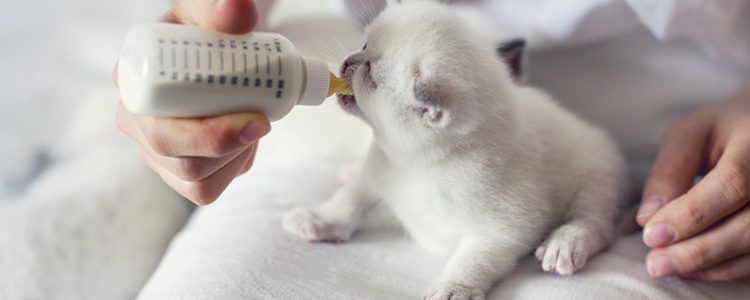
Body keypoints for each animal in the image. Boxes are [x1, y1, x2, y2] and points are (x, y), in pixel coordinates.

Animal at [284, 1, 632, 298]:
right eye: (365, 45)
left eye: (371, 76)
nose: (348, 62)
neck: (417, 165)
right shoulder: (384, 185)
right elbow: (349, 201)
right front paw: (318, 220)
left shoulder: (502, 230)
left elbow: (472, 261)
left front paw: (452, 288)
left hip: (596, 172)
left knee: (595, 223)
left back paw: (565, 244)